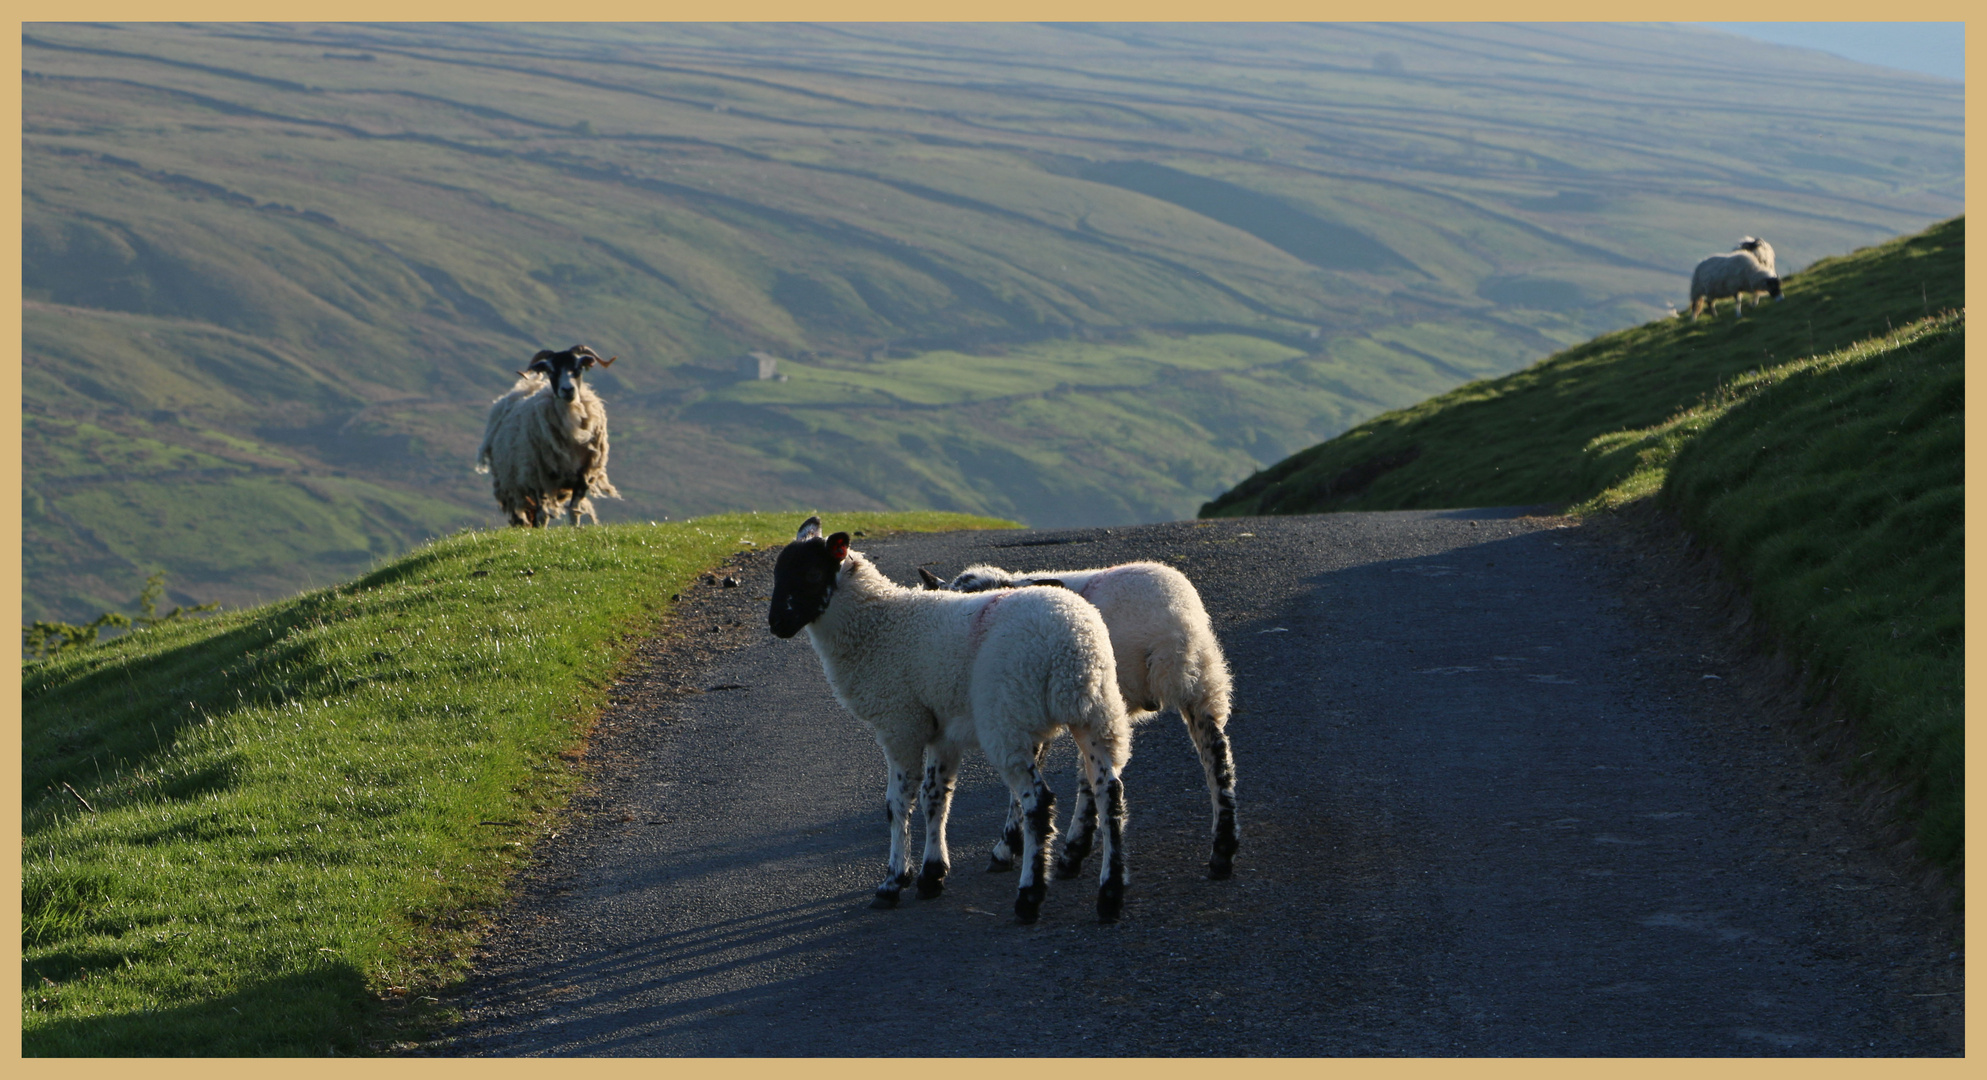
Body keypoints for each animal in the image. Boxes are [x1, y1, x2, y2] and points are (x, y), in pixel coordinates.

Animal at [470, 345, 615, 528]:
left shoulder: (583, 476)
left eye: (578, 367)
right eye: (551, 370)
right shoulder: (538, 479)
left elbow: (574, 511)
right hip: (511, 484)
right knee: (522, 513)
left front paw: (575, 529)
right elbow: (542, 516)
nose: (568, 390)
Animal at [770, 520, 1136, 925]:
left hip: (1008, 720)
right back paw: (1110, 894)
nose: (776, 624)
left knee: (1037, 802)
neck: (879, 625)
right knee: (1109, 792)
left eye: (810, 574)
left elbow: (897, 803)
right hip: (1096, 710)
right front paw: (931, 874)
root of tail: (1071, 643)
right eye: (776, 573)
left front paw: (893, 882)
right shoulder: (941, 729)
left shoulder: (900, 723)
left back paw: (1029, 896)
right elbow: (936, 796)